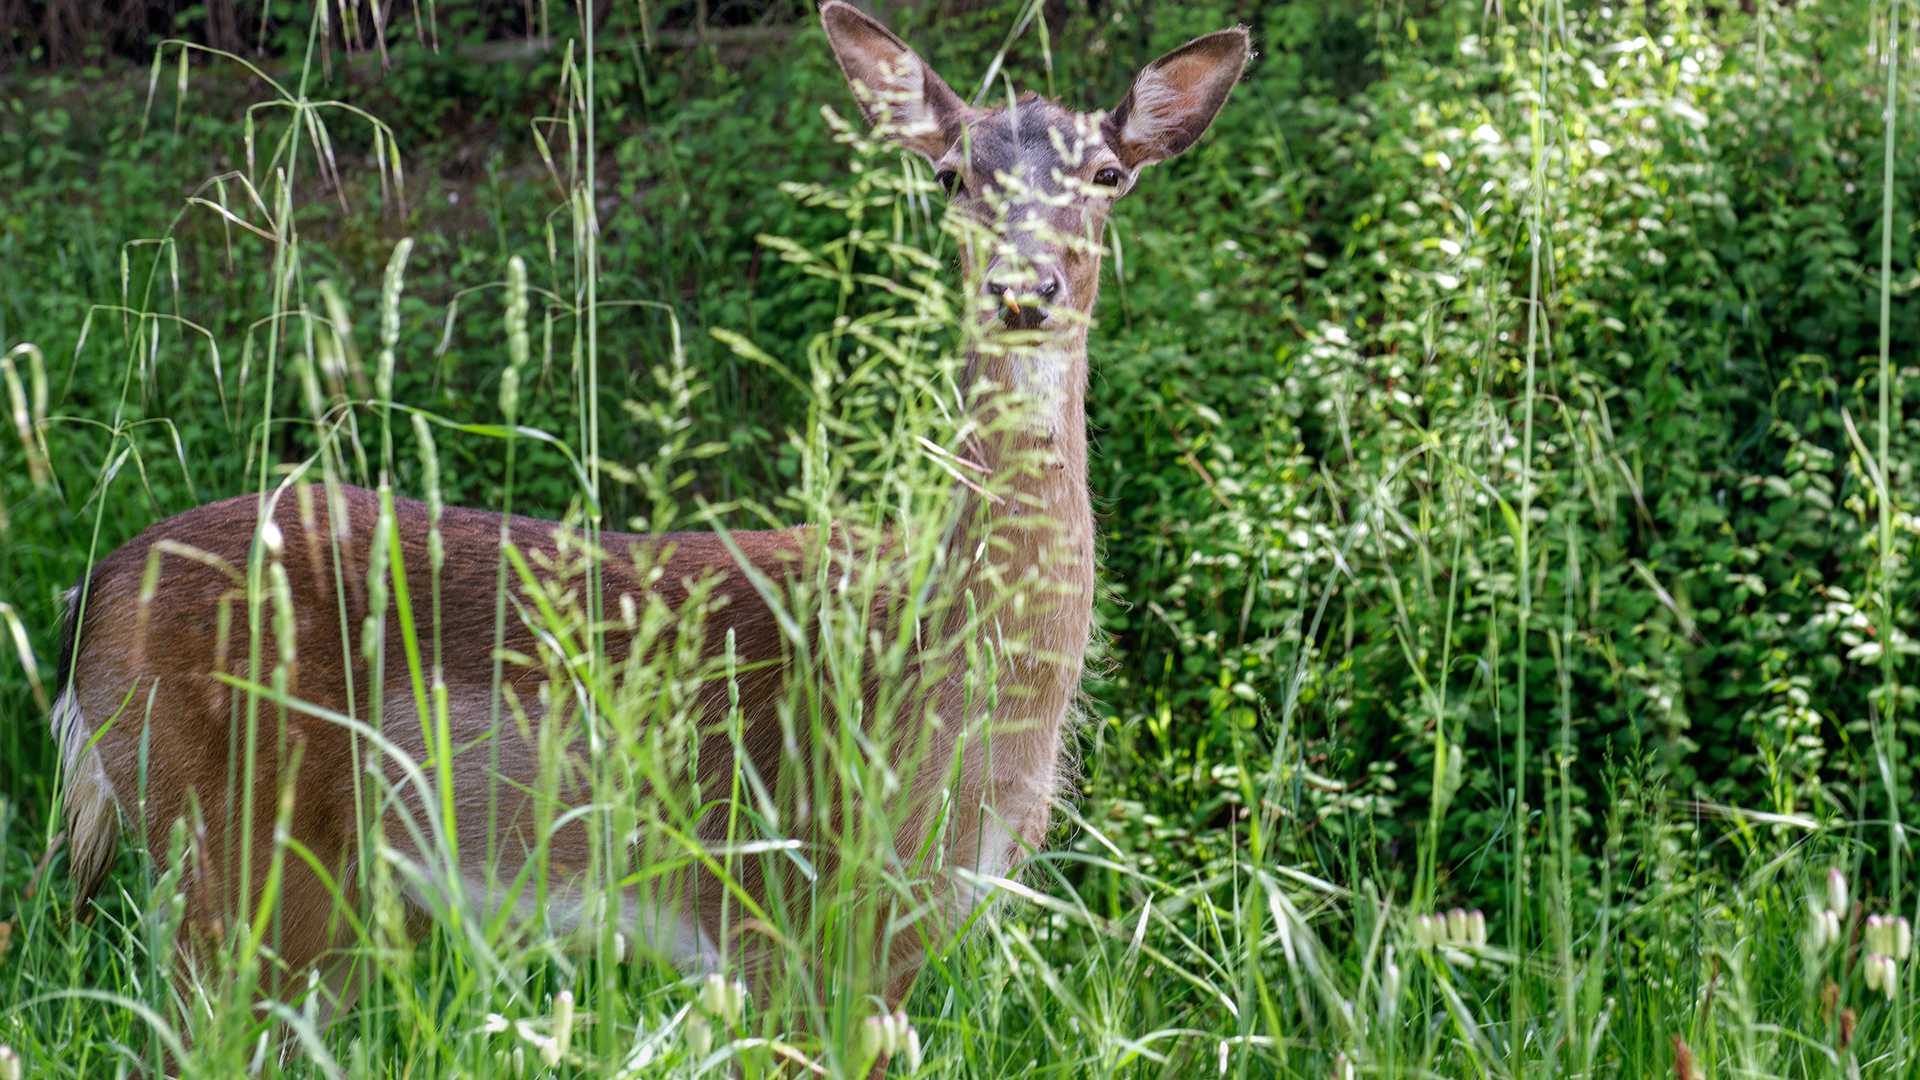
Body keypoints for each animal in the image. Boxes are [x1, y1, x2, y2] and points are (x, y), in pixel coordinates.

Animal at [48, 0, 1249, 1057]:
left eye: (1107, 174)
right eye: (953, 174)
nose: (1023, 288)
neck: (938, 684)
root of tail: (88, 603)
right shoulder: (786, 910)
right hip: (233, 847)